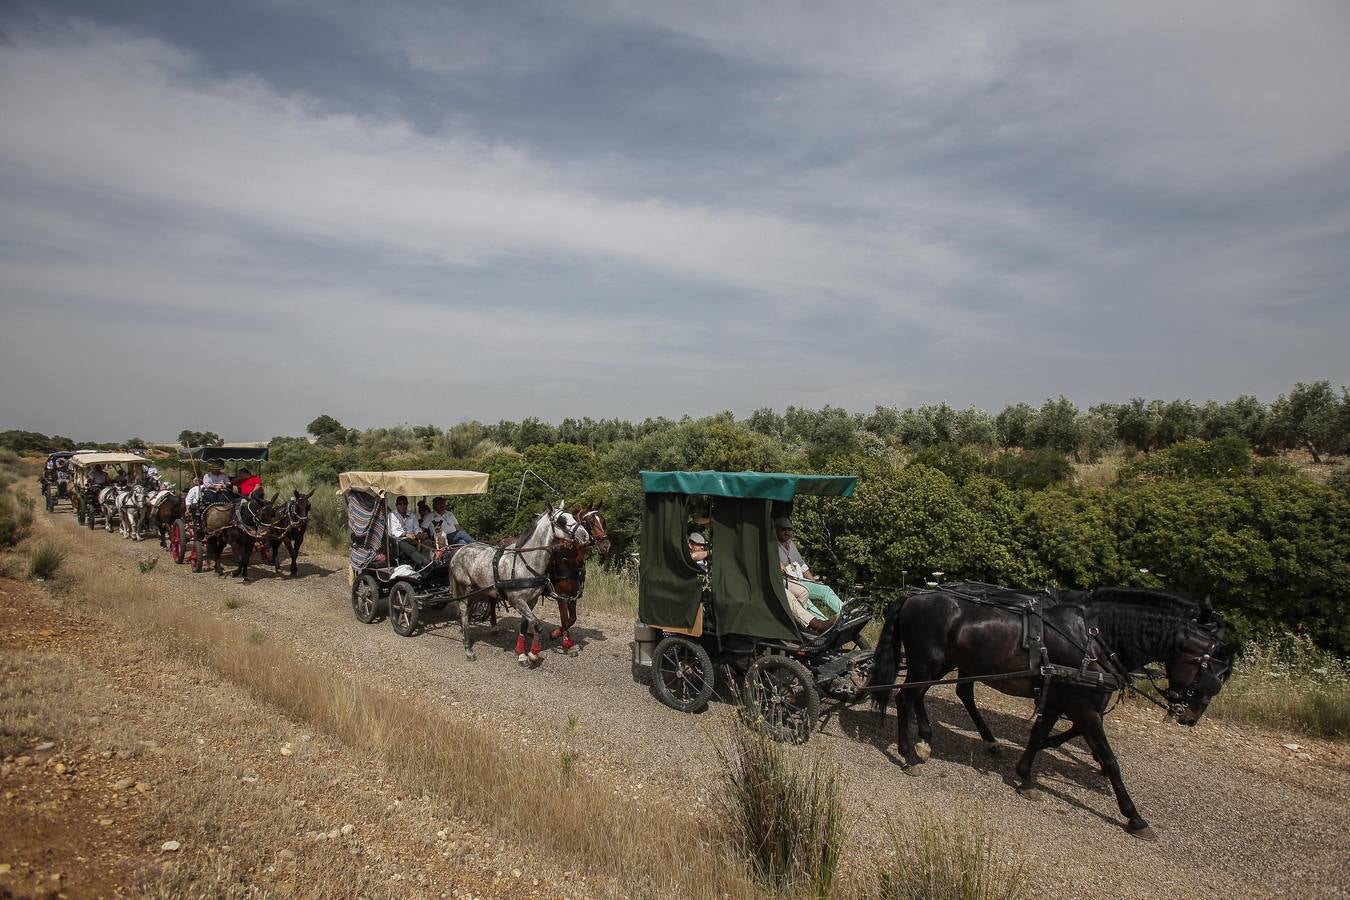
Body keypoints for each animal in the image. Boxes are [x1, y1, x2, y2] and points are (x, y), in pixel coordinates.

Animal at [448, 507, 591, 669]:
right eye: (562, 520)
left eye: (573, 517)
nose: (585, 535)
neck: (526, 563)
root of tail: (459, 551)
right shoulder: (517, 600)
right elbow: (538, 625)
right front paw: (533, 654)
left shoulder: (531, 600)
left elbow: (525, 625)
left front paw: (523, 654)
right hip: (464, 589)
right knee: (464, 613)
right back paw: (468, 649)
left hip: (478, 589)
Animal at [869, 585, 1236, 836]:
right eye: (1216, 675)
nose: (1189, 717)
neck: (1096, 639)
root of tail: (913, 597)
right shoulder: (1083, 706)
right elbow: (1110, 759)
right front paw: (1133, 815)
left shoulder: (1061, 700)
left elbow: (1038, 734)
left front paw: (1026, 775)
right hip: (927, 662)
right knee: (905, 700)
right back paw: (909, 754)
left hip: (942, 664)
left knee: (925, 697)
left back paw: (930, 741)